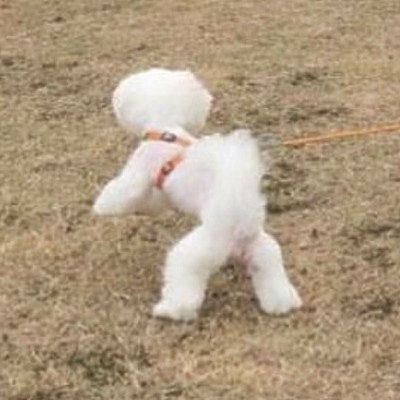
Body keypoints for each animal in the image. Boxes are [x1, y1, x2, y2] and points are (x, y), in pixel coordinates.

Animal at [93, 67, 300, 320]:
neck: (166, 126)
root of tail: (240, 227)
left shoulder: (138, 170)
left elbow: (121, 192)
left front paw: (101, 207)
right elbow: (154, 202)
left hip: (196, 252)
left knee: (183, 283)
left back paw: (169, 310)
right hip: (265, 254)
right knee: (273, 279)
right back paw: (283, 303)